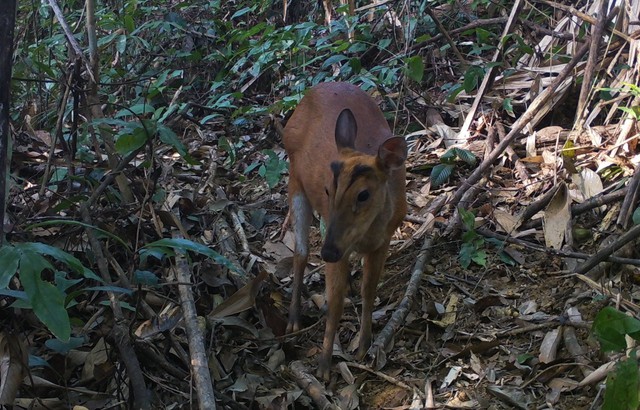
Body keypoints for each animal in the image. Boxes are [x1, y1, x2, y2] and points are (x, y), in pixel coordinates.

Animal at [282, 81, 408, 380]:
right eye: (328, 189)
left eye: (363, 194)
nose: (327, 252)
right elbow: (335, 303)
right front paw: (324, 366)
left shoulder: (383, 240)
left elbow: (369, 290)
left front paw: (364, 346)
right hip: (295, 180)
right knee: (301, 252)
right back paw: (293, 321)